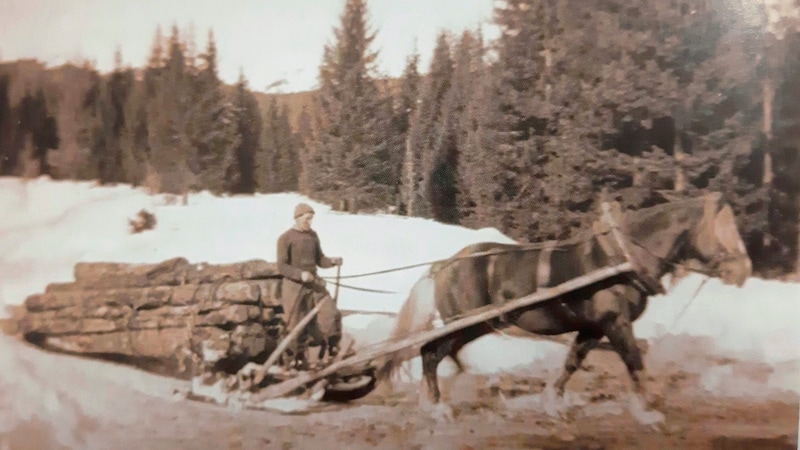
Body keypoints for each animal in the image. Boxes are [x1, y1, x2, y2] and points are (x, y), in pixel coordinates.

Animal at [374, 192, 752, 426]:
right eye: (722, 228)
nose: (744, 269)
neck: (622, 260)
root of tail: (444, 264)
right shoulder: (616, 323)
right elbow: (633, 361)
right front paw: (646, 411)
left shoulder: (593, 327)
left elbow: (572, 362)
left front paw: (552, 403)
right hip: (464, 322)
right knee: (430, 353)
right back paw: (436, 407)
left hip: (476, 324)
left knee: (437, 354)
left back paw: (437, 398)